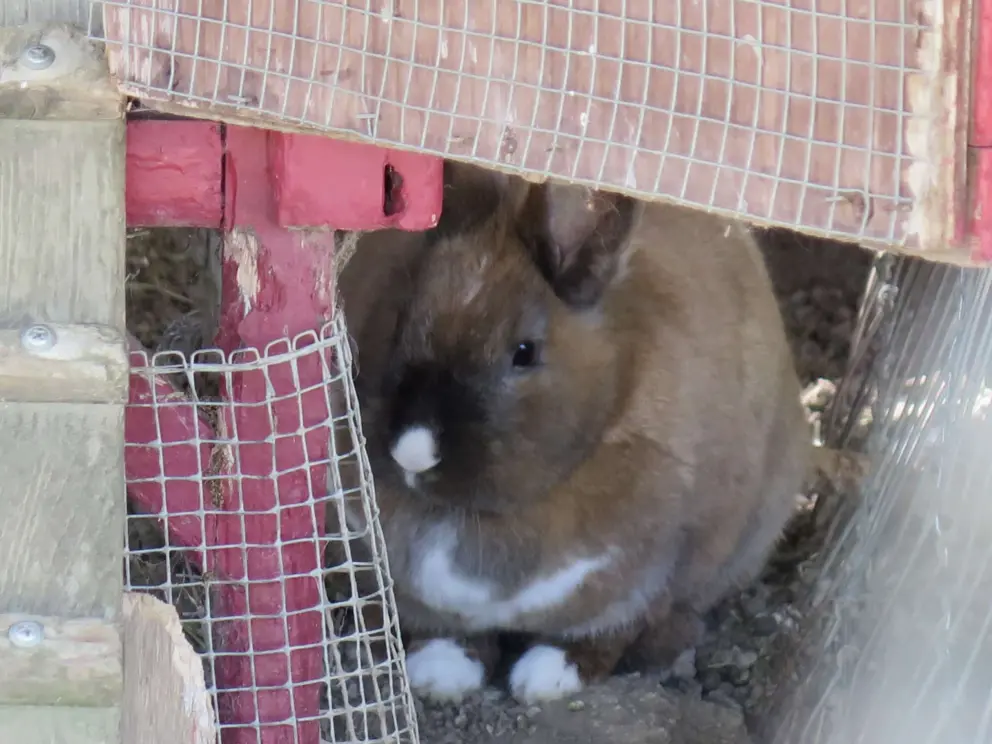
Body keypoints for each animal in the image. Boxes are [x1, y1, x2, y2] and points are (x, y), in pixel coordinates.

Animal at [334, 161, 811, 705]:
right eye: (404, 320)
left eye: (524, 352)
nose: (413, 450)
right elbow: (444, 629)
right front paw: (440, 671)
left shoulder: (654, 573)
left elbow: (609, 633)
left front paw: (550, 675)